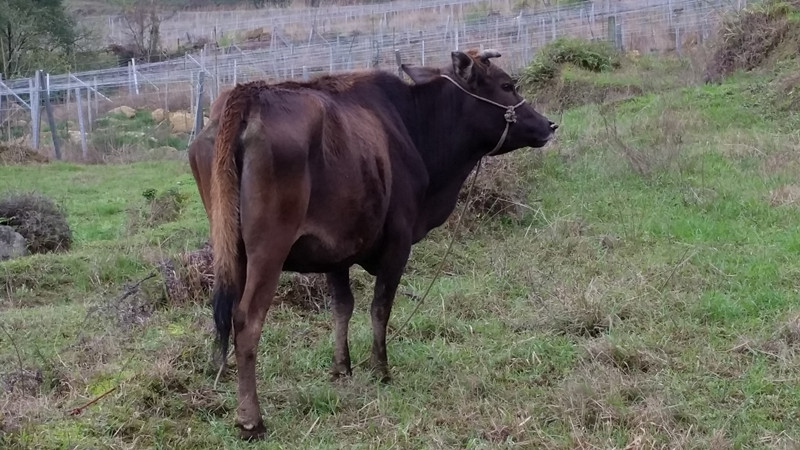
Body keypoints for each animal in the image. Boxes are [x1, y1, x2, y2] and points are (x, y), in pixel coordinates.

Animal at [188, 49, 556, 440]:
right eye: (507, 85)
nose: (549, 125)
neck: (412, 125)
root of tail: (250, 95)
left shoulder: (334, 252)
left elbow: (342, 307)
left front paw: (341, 368)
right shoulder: (398, 243)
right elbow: (380, 307)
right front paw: (380, 369)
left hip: (231, 248)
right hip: (268, 251)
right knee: (247, 320)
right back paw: (251, 419)